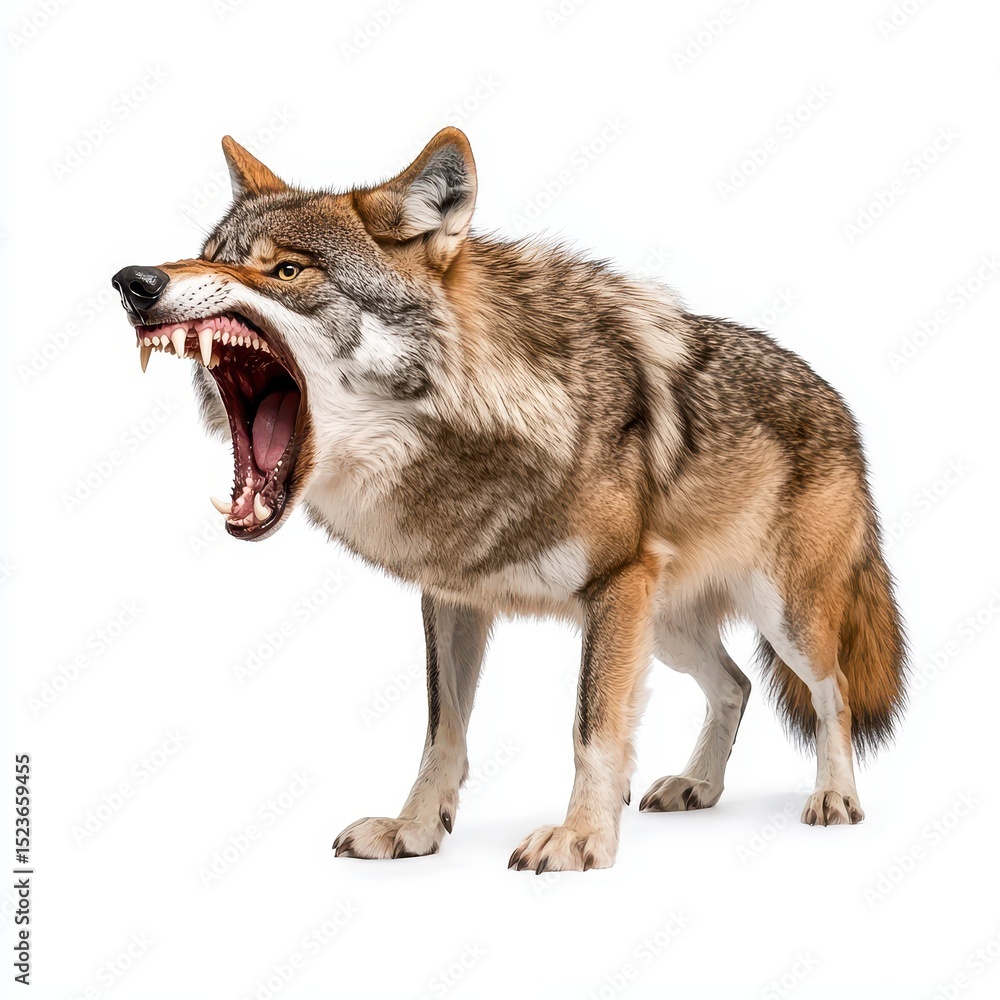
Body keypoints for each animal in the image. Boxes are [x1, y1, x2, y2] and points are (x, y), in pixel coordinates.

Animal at [111, 127, 907, 872]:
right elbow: (443, 732)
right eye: (207, 254)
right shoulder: (454, 598)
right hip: (668, 629)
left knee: (832, 690)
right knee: (736, 685)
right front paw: (413, 831)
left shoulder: (615, 586)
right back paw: (697, 786)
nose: (133, 280)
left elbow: (592, 728)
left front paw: (582, 838)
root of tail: (842, 405)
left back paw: (835, 796)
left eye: (284, 270)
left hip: (777, 616)